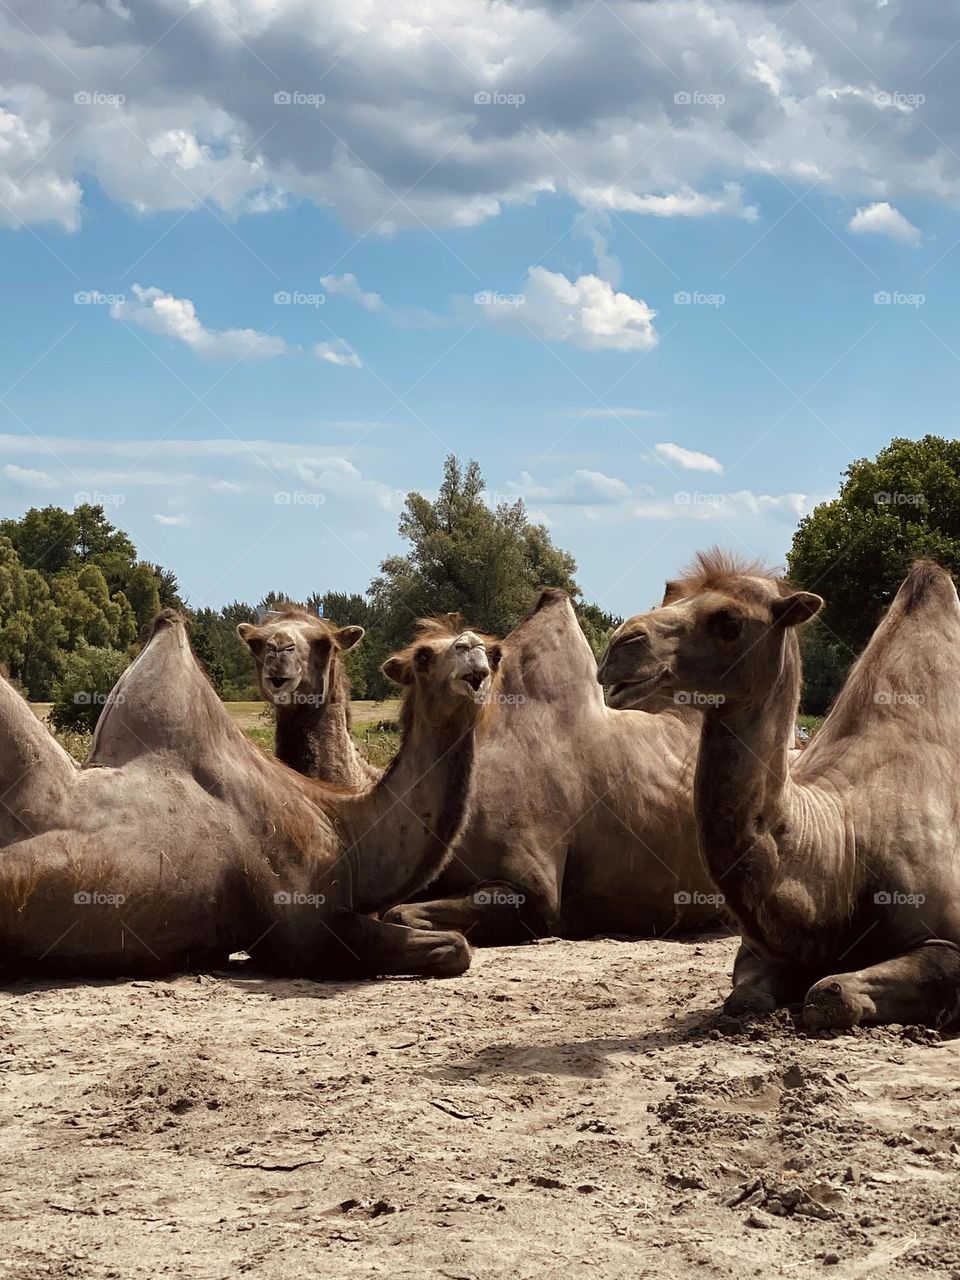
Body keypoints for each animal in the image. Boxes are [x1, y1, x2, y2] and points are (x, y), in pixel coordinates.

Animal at [598, 550, 960, 1031]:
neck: (840, 841)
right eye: (670, 597)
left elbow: (830, 992)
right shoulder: (759, 947)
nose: (620, 644)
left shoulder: (947, 937)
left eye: (728, 620)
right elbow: (745, 997)